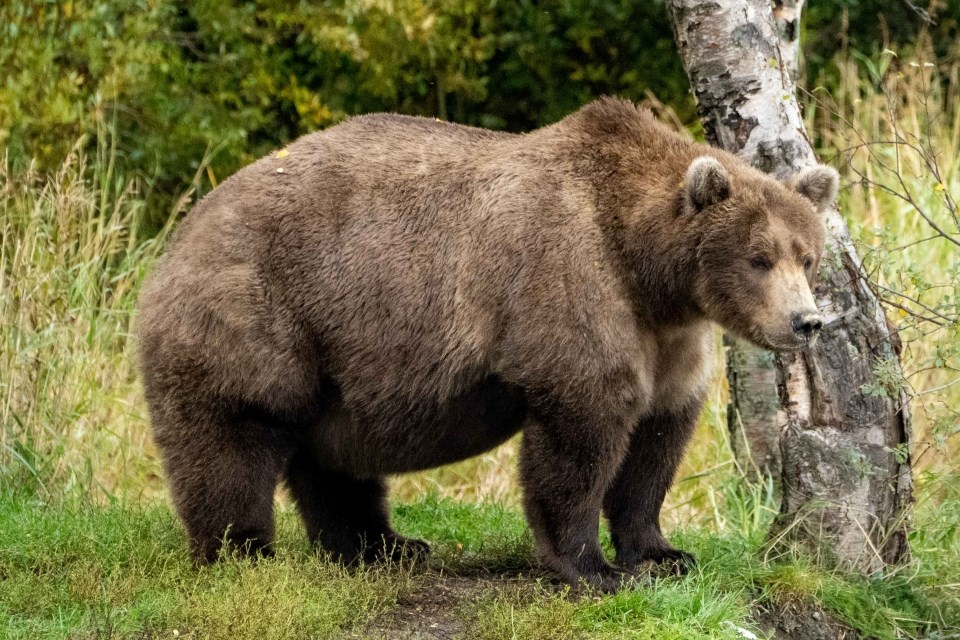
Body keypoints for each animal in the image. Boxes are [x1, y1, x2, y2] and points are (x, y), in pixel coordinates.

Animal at [139, 97, 836, 592]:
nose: (807, 321)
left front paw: (663, 553)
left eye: (808, 255)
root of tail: (178, 236)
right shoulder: (569, 283)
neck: (648, 271)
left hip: (337, 357)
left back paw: (384, 546)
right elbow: (582, 432)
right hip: (255, 314)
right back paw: (244, 552)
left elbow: (657, 439)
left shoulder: (671, 339)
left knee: (333, 455)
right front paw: (594, 567)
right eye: (758, 258)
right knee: (231, 436)